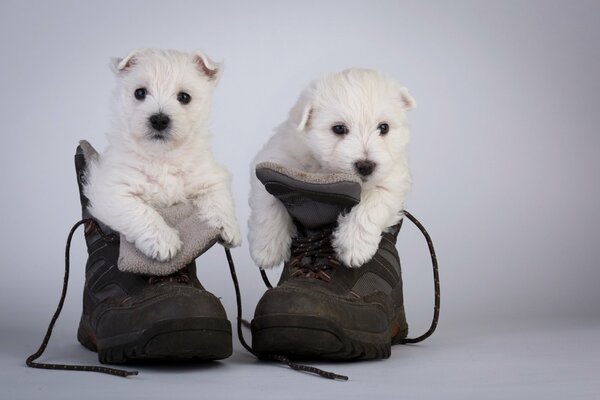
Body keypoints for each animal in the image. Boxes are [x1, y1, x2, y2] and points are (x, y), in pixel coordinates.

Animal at [86, 48, 241, 262]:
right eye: (140, 93)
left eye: (184, 97)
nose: (159, 120)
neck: (162, 157)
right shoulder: (110, 188)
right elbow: (141, 211)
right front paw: (164, 241)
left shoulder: (210, 177)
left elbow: (219, 200)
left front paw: (229, 228)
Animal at [247, 69, 412, 268]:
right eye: (339, 128)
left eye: (384, 127)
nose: (366, 166)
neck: (324, 170)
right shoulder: (274, 158)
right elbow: (268, 203)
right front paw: (266, 250)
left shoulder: (391, 180)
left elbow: (372, 202)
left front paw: (354, 246)